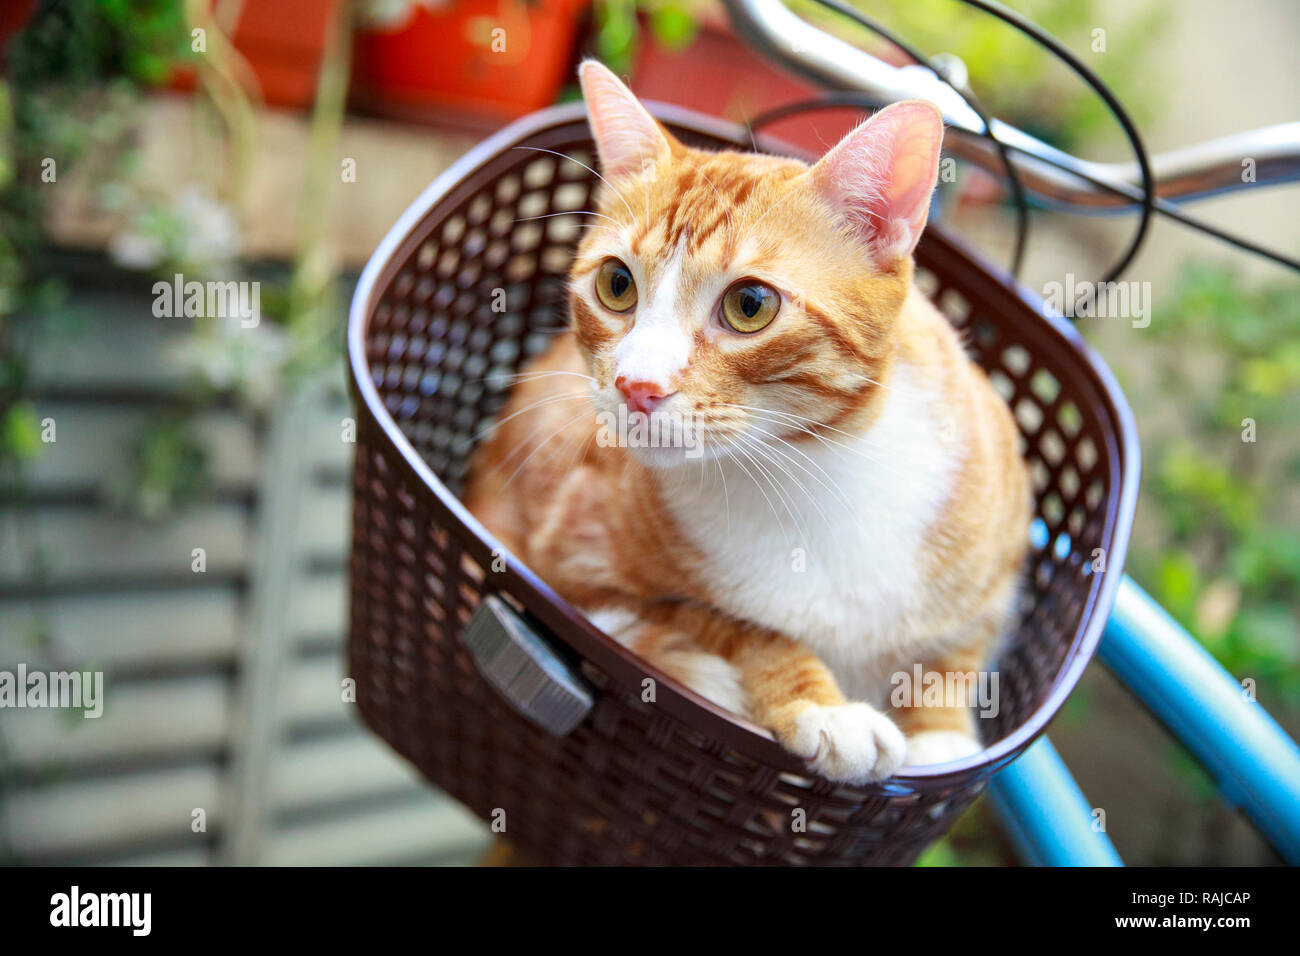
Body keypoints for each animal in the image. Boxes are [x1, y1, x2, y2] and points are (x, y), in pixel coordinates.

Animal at [462, 59, 1029, 785]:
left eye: (750, 304)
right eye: (617, 285)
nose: (636, 386)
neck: (817, 471)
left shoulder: (1000, 561)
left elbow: (957, 651)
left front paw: (941, 736)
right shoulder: (572, 570)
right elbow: (738, 627)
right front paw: (823, 708)